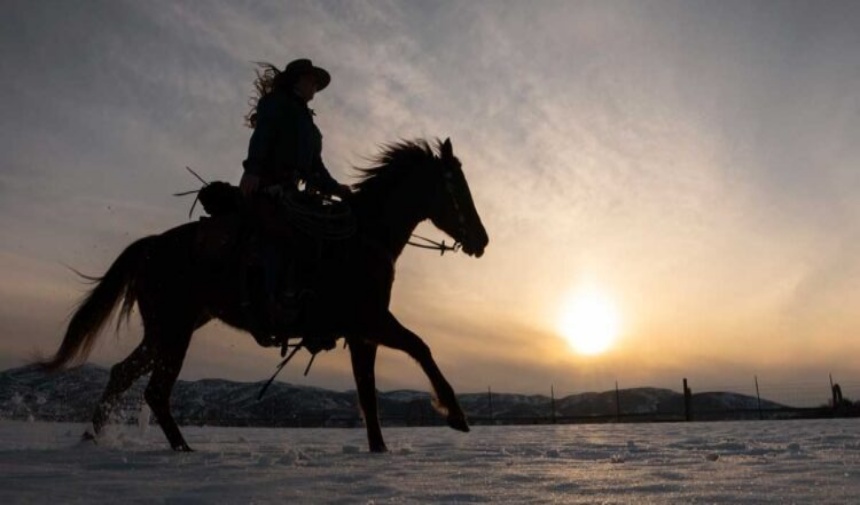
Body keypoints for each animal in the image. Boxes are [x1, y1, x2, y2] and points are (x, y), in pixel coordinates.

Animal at [37, 136, 488, 450]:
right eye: (458, 188)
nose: (482, 239)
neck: (362, 239)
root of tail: (151, 246)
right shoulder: (372, 321)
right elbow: (421, 347)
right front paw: (456, 413)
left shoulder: (363, 334)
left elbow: (369, 396)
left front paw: (380, 449)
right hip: (174, 331)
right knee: (155, 391)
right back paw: (183, 449)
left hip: (167, 330)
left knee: (122, 374)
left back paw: (92, 438)